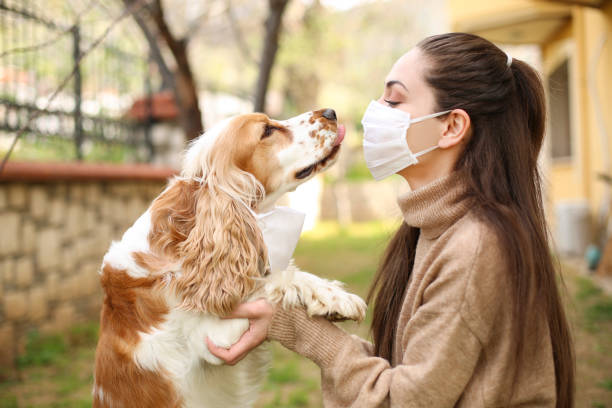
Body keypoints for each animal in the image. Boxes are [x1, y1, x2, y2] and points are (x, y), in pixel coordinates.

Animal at [93, 109, 366, 408]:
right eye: (267, 131)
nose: (330, 112)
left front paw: (332, 297)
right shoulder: (213, 337)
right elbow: (269, 283)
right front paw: (334, 298)